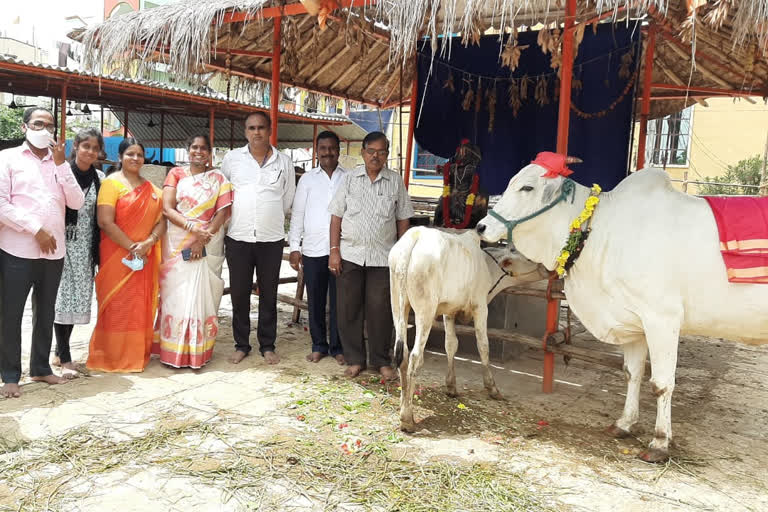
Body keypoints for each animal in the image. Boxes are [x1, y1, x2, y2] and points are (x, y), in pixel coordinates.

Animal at [392, 226, 548, 430]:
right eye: (528, 257)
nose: (548, 268)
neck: (487, 265)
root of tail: (415, 236)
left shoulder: (449, 310)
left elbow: (451, 344)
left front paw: (451, 386)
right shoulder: (480, 307)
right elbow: (483, 346)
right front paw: (492, 388)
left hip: (398, 305)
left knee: (402, 354)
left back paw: (404, 407)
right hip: (425, 311)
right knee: (415, 357)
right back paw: (407, 418)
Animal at [474, 166, 768, 462]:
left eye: (527, 187)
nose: (481, 227)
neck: (600, 232)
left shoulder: (663, 319)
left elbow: (661, 383)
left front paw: (659, 442)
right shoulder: (633, 323)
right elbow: (631, 373)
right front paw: (624, 424)